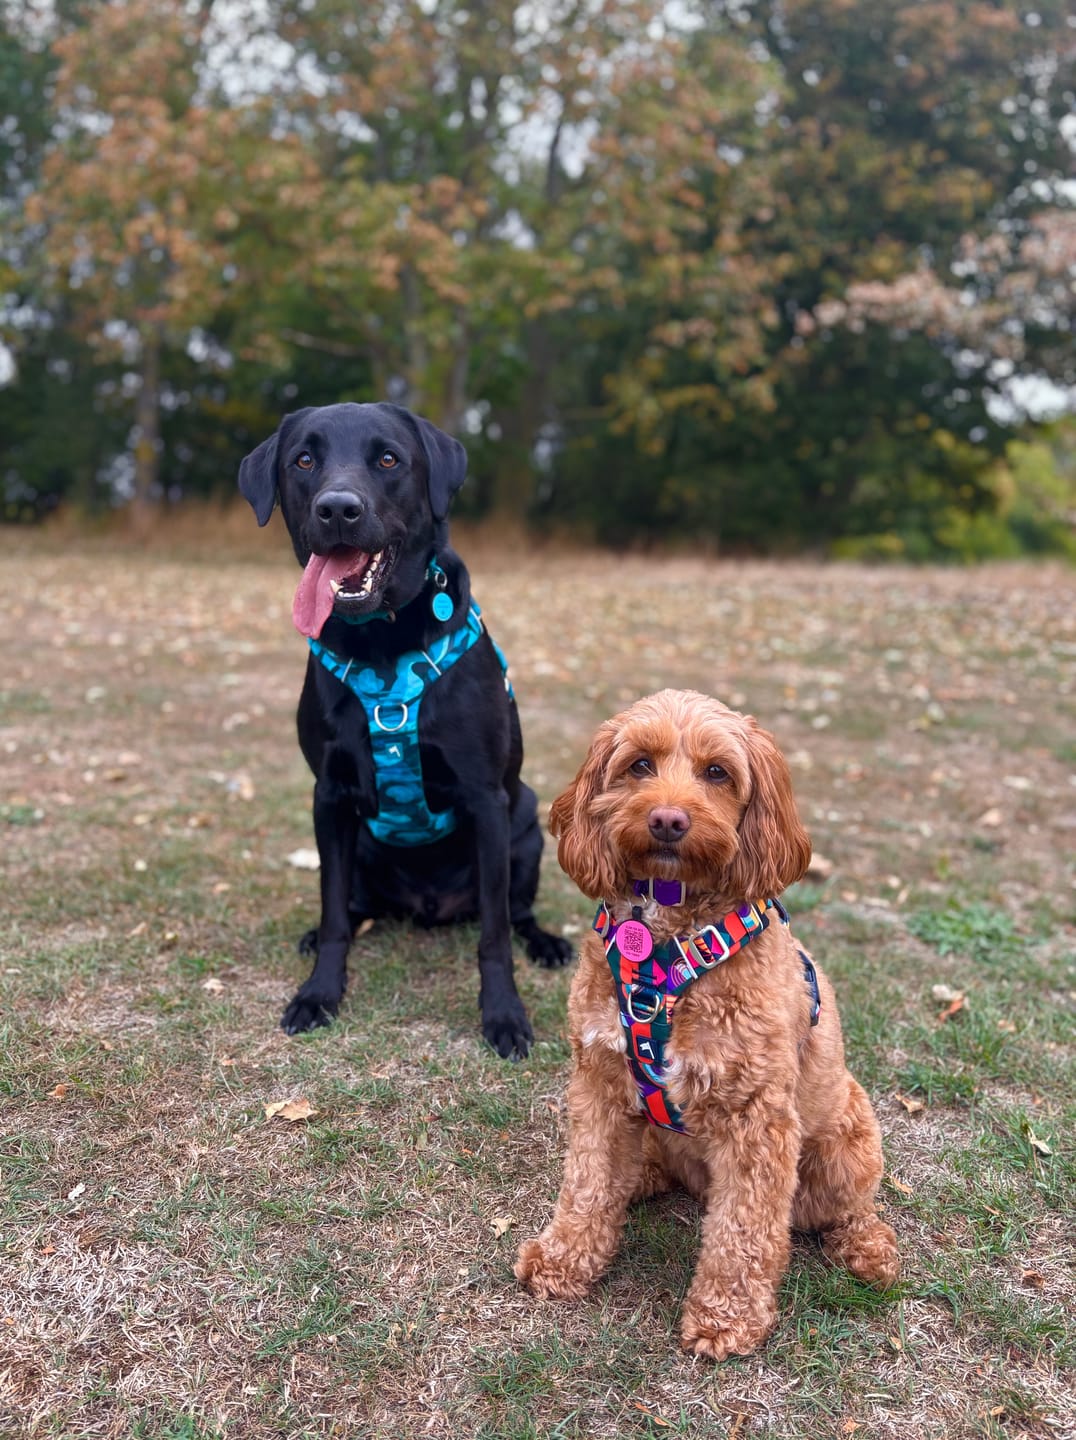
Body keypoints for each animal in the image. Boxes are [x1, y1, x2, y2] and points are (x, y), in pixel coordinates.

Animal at [238, 401, 572, 1057]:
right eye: (304, 460)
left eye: (388, 459)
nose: (337, 508)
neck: (381, 642)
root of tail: (430, 907)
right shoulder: (329, 797)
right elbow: (334, 911)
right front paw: (320, 992)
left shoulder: (487, 800)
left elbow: (495, 935)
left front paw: (504, 1015)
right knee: (354, 905)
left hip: (526, 828)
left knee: (515, 913)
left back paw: (545, 942)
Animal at [515, 689, 899, 1357]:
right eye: (640, 765)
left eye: (717, 772)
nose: (668, 820)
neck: (669, 942)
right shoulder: (599, 1084)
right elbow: (587, 1181)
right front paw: (564, 1261)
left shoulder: (756, 1117)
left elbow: (743, 1229)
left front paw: (726, 1317)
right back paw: (640, 1178)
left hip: (847, 1143)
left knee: (845, 1210)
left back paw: (868, 1248)